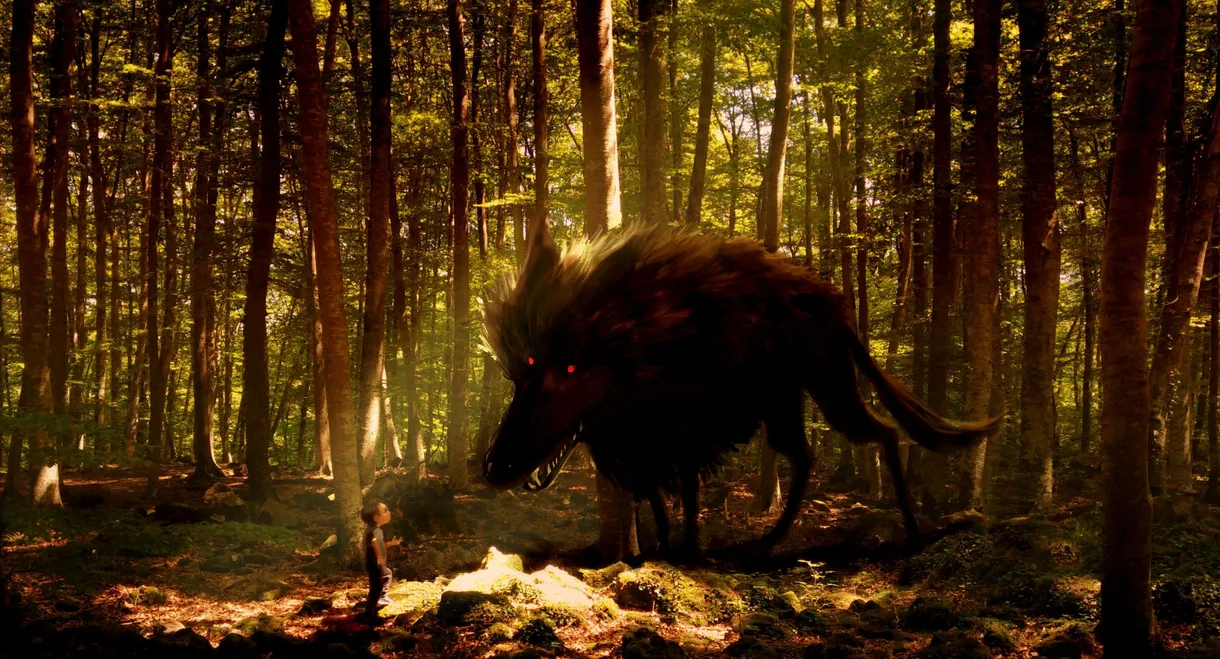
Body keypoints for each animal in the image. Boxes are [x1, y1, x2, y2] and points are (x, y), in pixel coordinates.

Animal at [481, 223, 997, 557]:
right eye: (522, 371)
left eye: (570, 367)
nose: (493, 468)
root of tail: (836, 305)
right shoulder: (649, 446)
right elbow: (658, 502)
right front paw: (658, 551)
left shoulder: (686, 434)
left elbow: (686, 497)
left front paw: (687, 553)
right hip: (803, 396)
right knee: (824, 449)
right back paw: (770, 541)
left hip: (815, 389)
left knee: (875, 435)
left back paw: (905, 533)